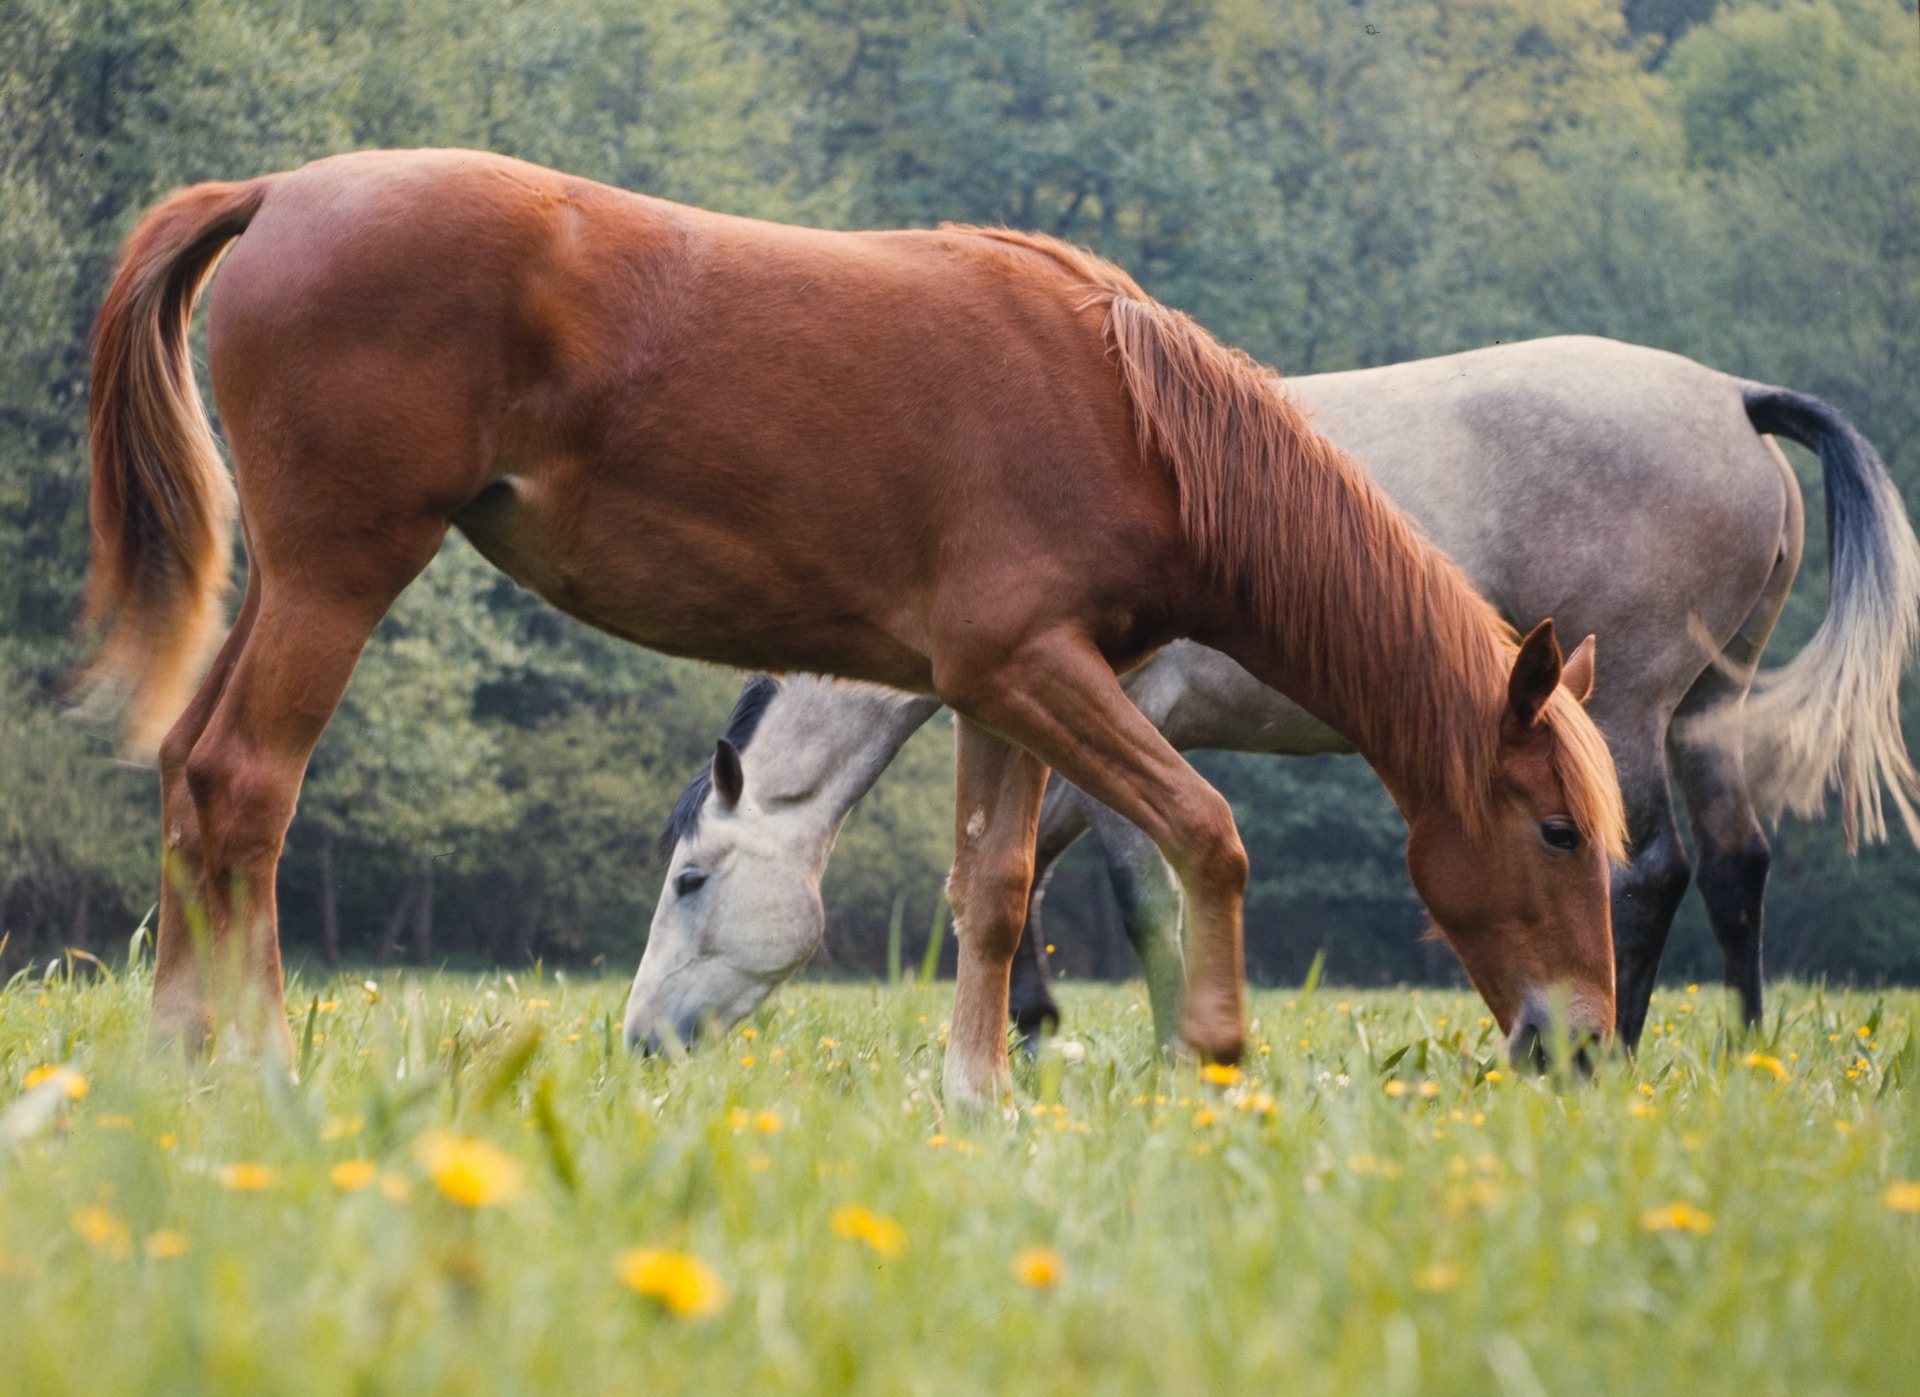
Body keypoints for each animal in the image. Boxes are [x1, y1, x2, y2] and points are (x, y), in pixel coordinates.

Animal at [86, 144, 1620, 1105]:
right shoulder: (1031, 670)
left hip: (283, 582)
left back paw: (169, 1064)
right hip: (339, 574)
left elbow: (994, 892)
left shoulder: (1007, 691)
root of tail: (280, 191)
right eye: (1555, 831)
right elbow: (1206, 830)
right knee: (246, 787)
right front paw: (1216, 1052)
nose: (1587, 1050)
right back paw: (263, 1070)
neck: (1129, 418)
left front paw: (978, 1096)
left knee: (187, 779)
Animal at [629, 341, 1920, 1043]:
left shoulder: (1122, 722)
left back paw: (1616, 1040)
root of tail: (1731, 395)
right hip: (1705, 705)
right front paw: (1037, 1033)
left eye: (692, 880)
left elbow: (1130, 887)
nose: (640, 1042)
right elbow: (1014, 873)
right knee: (1739, 867)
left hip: (1625, 708)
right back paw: (1736, 1050)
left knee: (1647, 869)